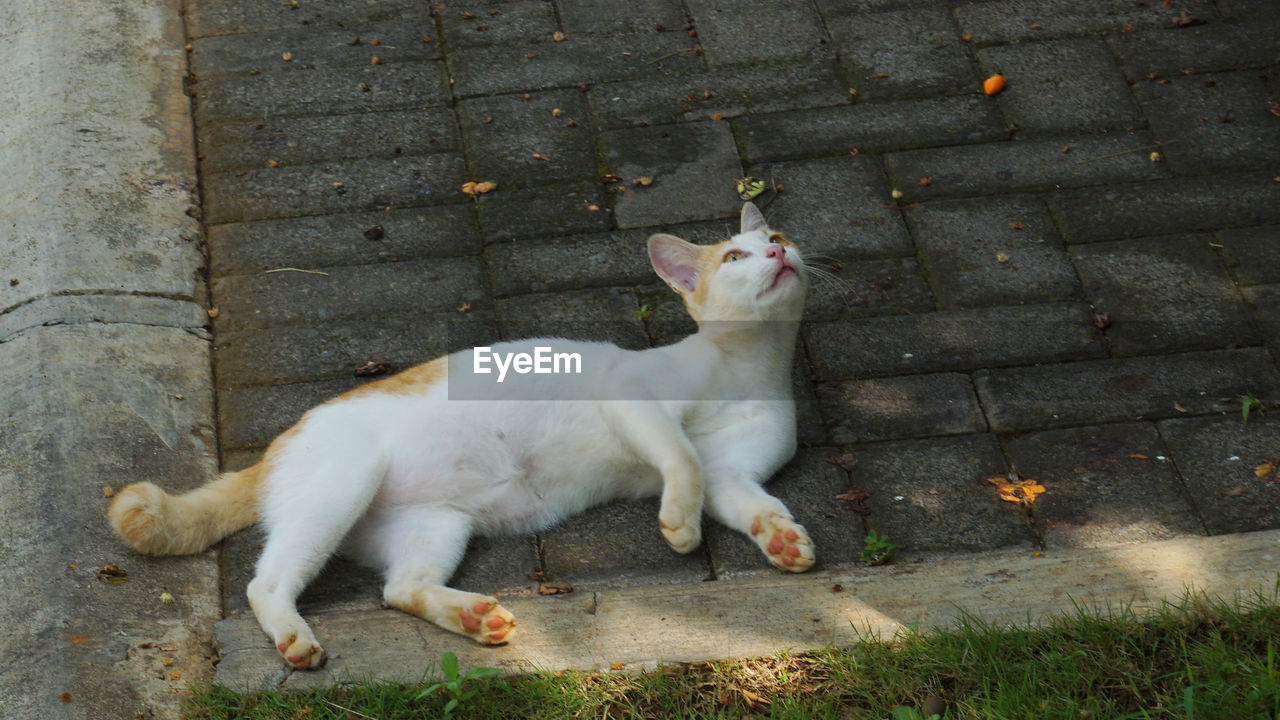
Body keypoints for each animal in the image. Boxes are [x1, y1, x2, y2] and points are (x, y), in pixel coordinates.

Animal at [107, 202, 808, 666]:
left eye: (776, 236)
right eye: (736, 257)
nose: (777, 252)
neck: (747, 368)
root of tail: (278, 442)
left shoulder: (730, 473)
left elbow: (746, 497)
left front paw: (781, 536)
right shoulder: (631, 396)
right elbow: (680, 458)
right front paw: (681, 524)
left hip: (435, 524)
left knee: (398, 588)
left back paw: (472, 615)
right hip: (341, 490)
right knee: (267, 581)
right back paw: (294, 636)